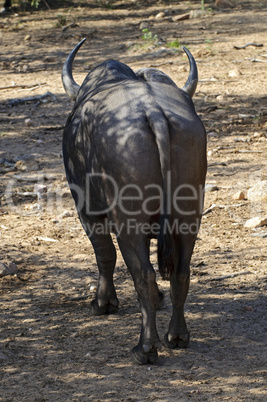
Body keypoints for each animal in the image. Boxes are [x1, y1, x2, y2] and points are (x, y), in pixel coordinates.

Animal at [62, 40, 207, 364]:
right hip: (188, 216)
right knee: (181, 271)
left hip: (129, 221)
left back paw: (145, 347)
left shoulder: (87, 209)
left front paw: (103, 303)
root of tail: (154, 113)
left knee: (144, 275)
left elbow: (104, 254)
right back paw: (177, 336)